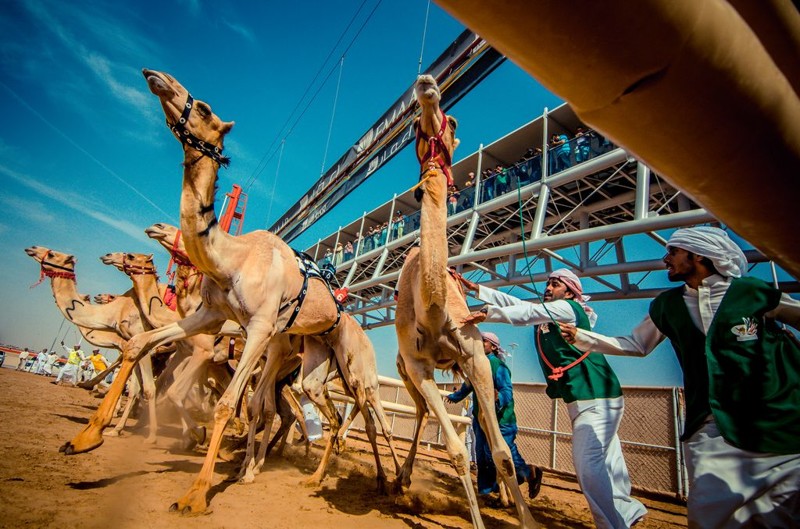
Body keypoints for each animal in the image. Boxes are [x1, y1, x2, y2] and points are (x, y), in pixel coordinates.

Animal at [24, 246, 161, 442]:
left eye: (52, 254)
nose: (32, 248)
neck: (115, 312)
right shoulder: (132, 345)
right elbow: (134, 387)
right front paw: (116, 428)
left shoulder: (137, 343)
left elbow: (145, 387)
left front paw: (150, 435)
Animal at [60, 68, 400, 512]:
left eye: (204, 108)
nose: (156, 77)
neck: (232, 259)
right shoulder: (210, 316)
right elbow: (140, 345)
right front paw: (85, 438)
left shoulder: (258, 327)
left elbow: (225, 405)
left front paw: (195, 494)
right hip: (314, 359)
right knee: (327, 410)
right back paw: (315, 475)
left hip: (356, 363)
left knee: (369, 415)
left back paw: (390, 484)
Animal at [392, 75, 536, 528]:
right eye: (411, 131)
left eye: (453, 122)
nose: (427, 86)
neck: (433, 307)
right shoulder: (417, 364)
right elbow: (456, 452)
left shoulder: (474, 357)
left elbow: (503, 453)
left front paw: (525, 518)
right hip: (405, 370)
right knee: (421, 410)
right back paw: (402, 478)